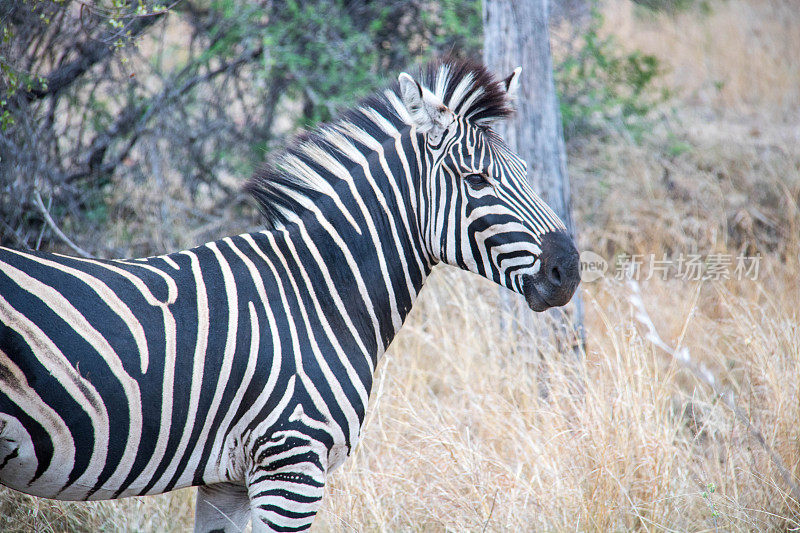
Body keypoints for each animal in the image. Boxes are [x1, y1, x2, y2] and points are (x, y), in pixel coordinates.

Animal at [0, 58, 580, 528]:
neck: (315, 295)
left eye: (525, 172)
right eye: (476, 180)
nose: (568, 271)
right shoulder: (291, 465)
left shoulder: (229, 480)